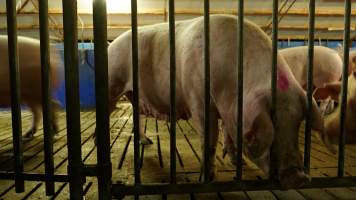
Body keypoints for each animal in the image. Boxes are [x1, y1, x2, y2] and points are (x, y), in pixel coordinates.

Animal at [107, 14, 324, 188]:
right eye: (271, 124)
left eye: (298, 123)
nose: (298, 177)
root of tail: (112, 43)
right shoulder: (197, 98)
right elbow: (210, 139)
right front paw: (207, 179)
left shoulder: (231, 109)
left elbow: (229, 133)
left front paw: (238, 162)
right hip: (113, 82)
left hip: (134, 96)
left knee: (137, 117)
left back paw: (147, 141)